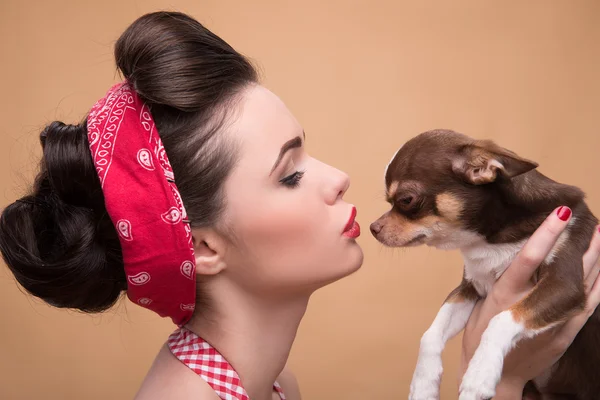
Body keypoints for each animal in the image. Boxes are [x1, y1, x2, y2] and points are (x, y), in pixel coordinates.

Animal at [370, 130, 600, 398]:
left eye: (406, 200)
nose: (373, 228)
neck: (492, 240)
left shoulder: (564, 285)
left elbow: (501, 319)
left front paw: (479, 376)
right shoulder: (470, 288)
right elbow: (430, 334)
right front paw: (423, 384)